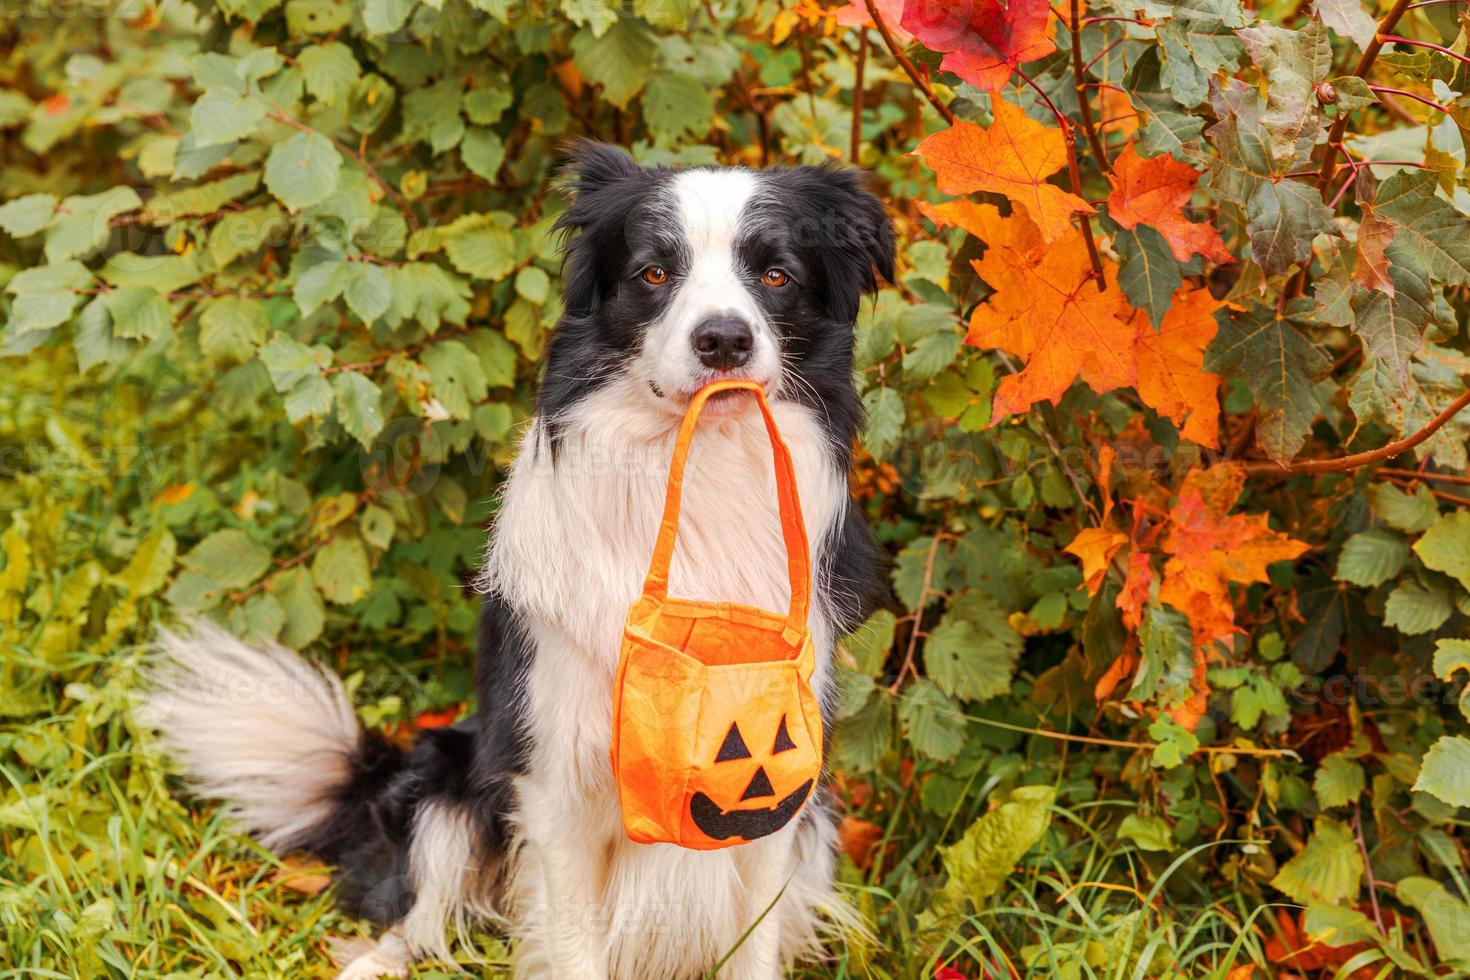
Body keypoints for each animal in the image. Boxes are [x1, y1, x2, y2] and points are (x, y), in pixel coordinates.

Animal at [152, 139, 893, 980]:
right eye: (653, 273)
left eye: (776, 276)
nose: (724, 340)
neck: (696, 473)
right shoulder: (554, 774)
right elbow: (570, 943)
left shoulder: (779, 797)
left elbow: (754, 943)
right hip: (447, 777)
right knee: (414, 906)